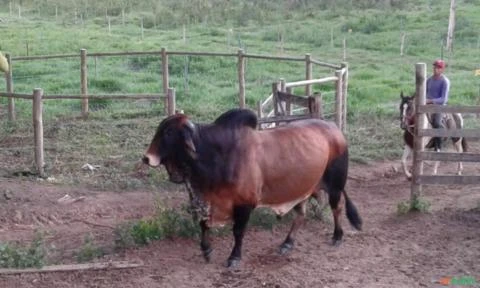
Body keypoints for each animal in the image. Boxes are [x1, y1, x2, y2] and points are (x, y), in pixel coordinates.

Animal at [144, 108, 362, 268]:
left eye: (169, 132)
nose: (146, 158)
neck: (215, 156)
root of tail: (334, 128)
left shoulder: (244, 203)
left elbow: (238, 231)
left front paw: (234, 258)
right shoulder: (207, 201)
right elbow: (204, 224)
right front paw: (206, 251)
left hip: (335, 185)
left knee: (337, 208)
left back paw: (337, 237)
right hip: (303, 190)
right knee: (301, 214)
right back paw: (287, 243)